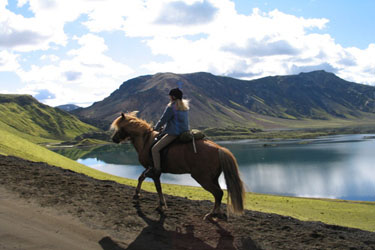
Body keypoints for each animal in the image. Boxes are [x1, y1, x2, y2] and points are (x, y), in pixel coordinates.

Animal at [111, 111, 247, 219]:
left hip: (203, 179)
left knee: (218, 193)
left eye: (120, 127)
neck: (146, 141)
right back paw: (216, 213)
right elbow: (141, 178)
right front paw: (136, 194)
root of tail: (219, 148)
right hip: (213, 178)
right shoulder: (149, 169)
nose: (113, 139)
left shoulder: (154, 171)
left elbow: (158, 187)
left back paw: (211, 214)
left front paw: (161, 206)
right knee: (219, 194)